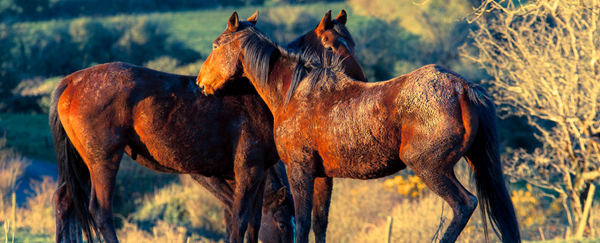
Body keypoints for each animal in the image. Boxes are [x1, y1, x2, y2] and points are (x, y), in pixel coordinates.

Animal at [51, 9, 364, 243]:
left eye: (353, 44)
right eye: (332, 46)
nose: (359, 80)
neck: (266, 94)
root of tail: (72, 80)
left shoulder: (258, 172)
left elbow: (251, 221)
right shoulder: (243, 171)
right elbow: (238, 220)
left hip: (83, 162)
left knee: (66, 203)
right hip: (103, 161)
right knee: (100, 212)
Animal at [199, 12, 524, 243]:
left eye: (215, 45)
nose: (201, 82)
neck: (296, 92)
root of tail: (463, 87)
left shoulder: (299, 170)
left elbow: (302, 224)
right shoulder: (322, 177)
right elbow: (319, 224)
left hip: (431, 168)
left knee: (464, 204)